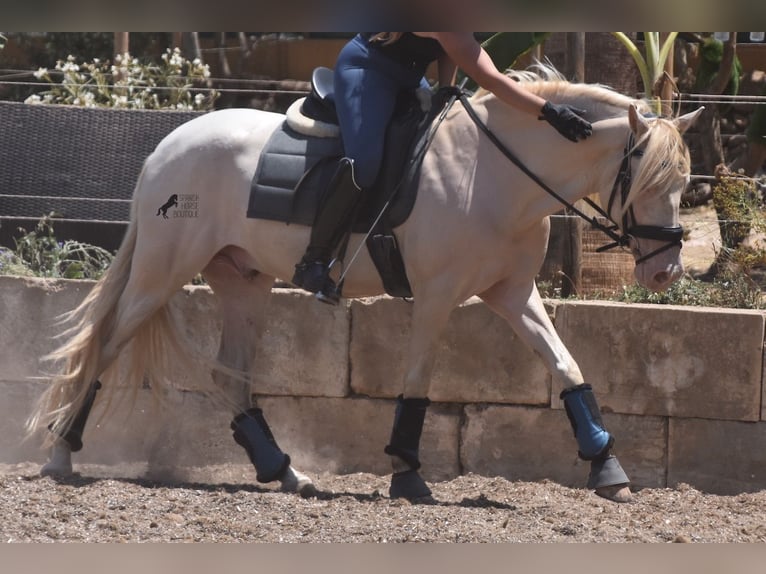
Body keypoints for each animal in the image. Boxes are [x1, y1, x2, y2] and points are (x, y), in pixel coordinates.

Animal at [28, 66, 704, 504]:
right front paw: (406, 473)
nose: (665, 272)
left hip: (244, 283)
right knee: (104, 347)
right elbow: (417, 384)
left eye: (683, 183)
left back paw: (287, 474)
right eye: (647, 179)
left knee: (230, 376)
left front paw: (607, 468)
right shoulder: (437, 296)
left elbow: (568, 369)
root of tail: (167, 146)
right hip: (163, 271)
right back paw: (62, 453)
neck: (495, 174)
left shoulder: (514, 294)